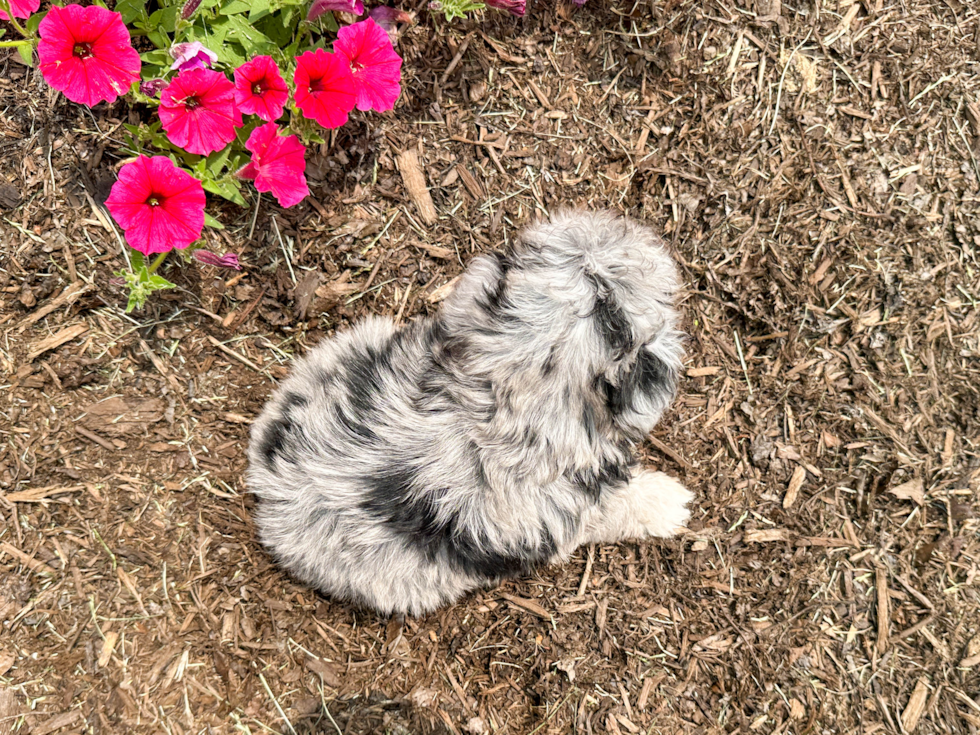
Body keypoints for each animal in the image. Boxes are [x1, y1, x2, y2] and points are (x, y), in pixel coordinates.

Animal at [249, 211, 692, 616]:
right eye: (610, 307)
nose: (616, 228)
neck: (499, 401)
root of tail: (265, 494)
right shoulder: (572, 510)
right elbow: (618, 506)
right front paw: (669, 503)